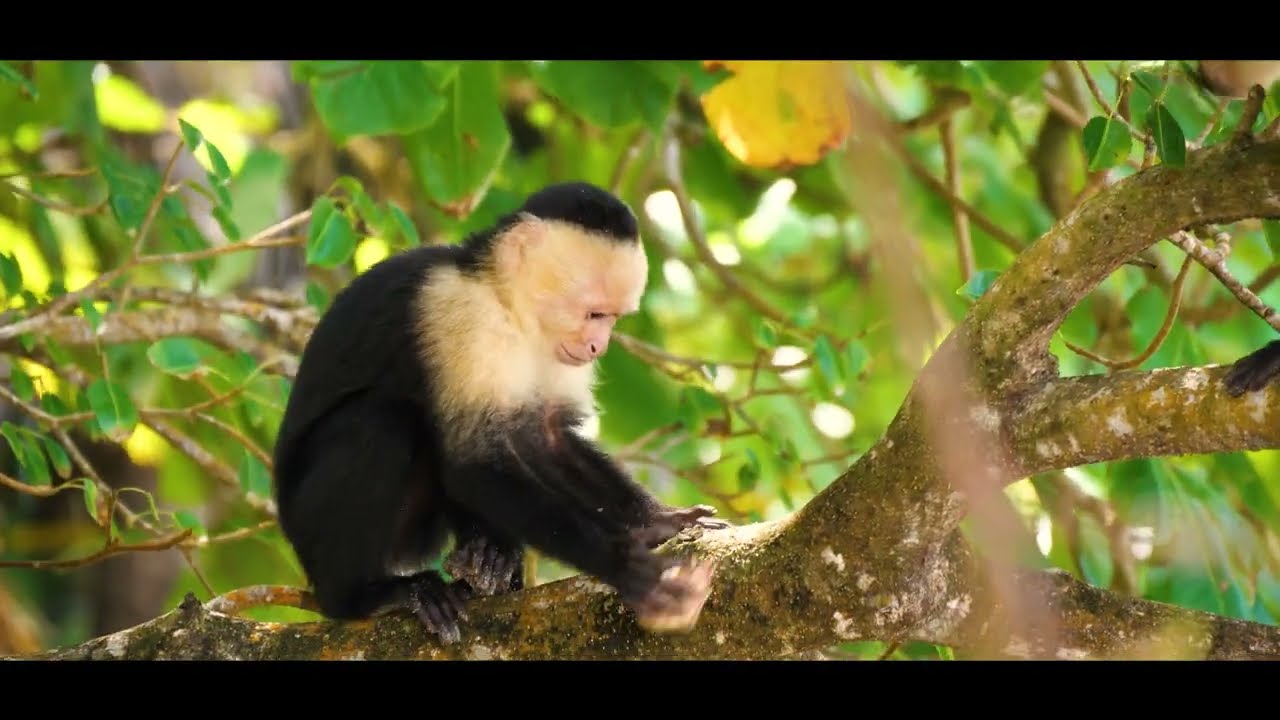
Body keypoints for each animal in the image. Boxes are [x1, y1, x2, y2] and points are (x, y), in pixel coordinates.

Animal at [271, 181, 728, 644]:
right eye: (595, 313)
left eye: (613, 318)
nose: (598, 347)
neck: (508, 305)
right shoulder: (463, 316)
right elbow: (472, 461)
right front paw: (629, 569)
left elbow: (545, 437)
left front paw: (658, 523)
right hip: (309, 524)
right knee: (381, 422)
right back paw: (367, 596)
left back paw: (488, 554)